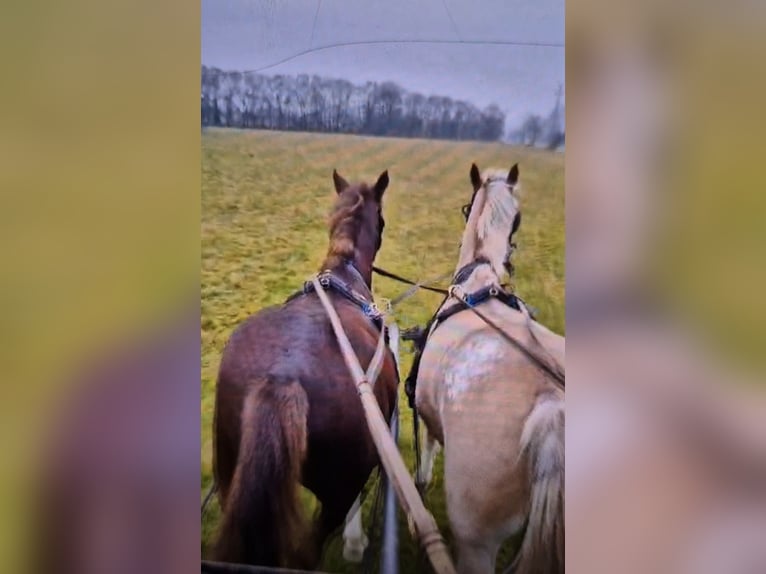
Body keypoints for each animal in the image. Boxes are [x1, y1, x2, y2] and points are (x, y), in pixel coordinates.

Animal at [416, 163, 568, 574]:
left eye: (517, 220)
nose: (510, 264)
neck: (477, 280)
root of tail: (550, 404)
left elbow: (428, 444)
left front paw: (420, 480)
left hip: (475, 541)